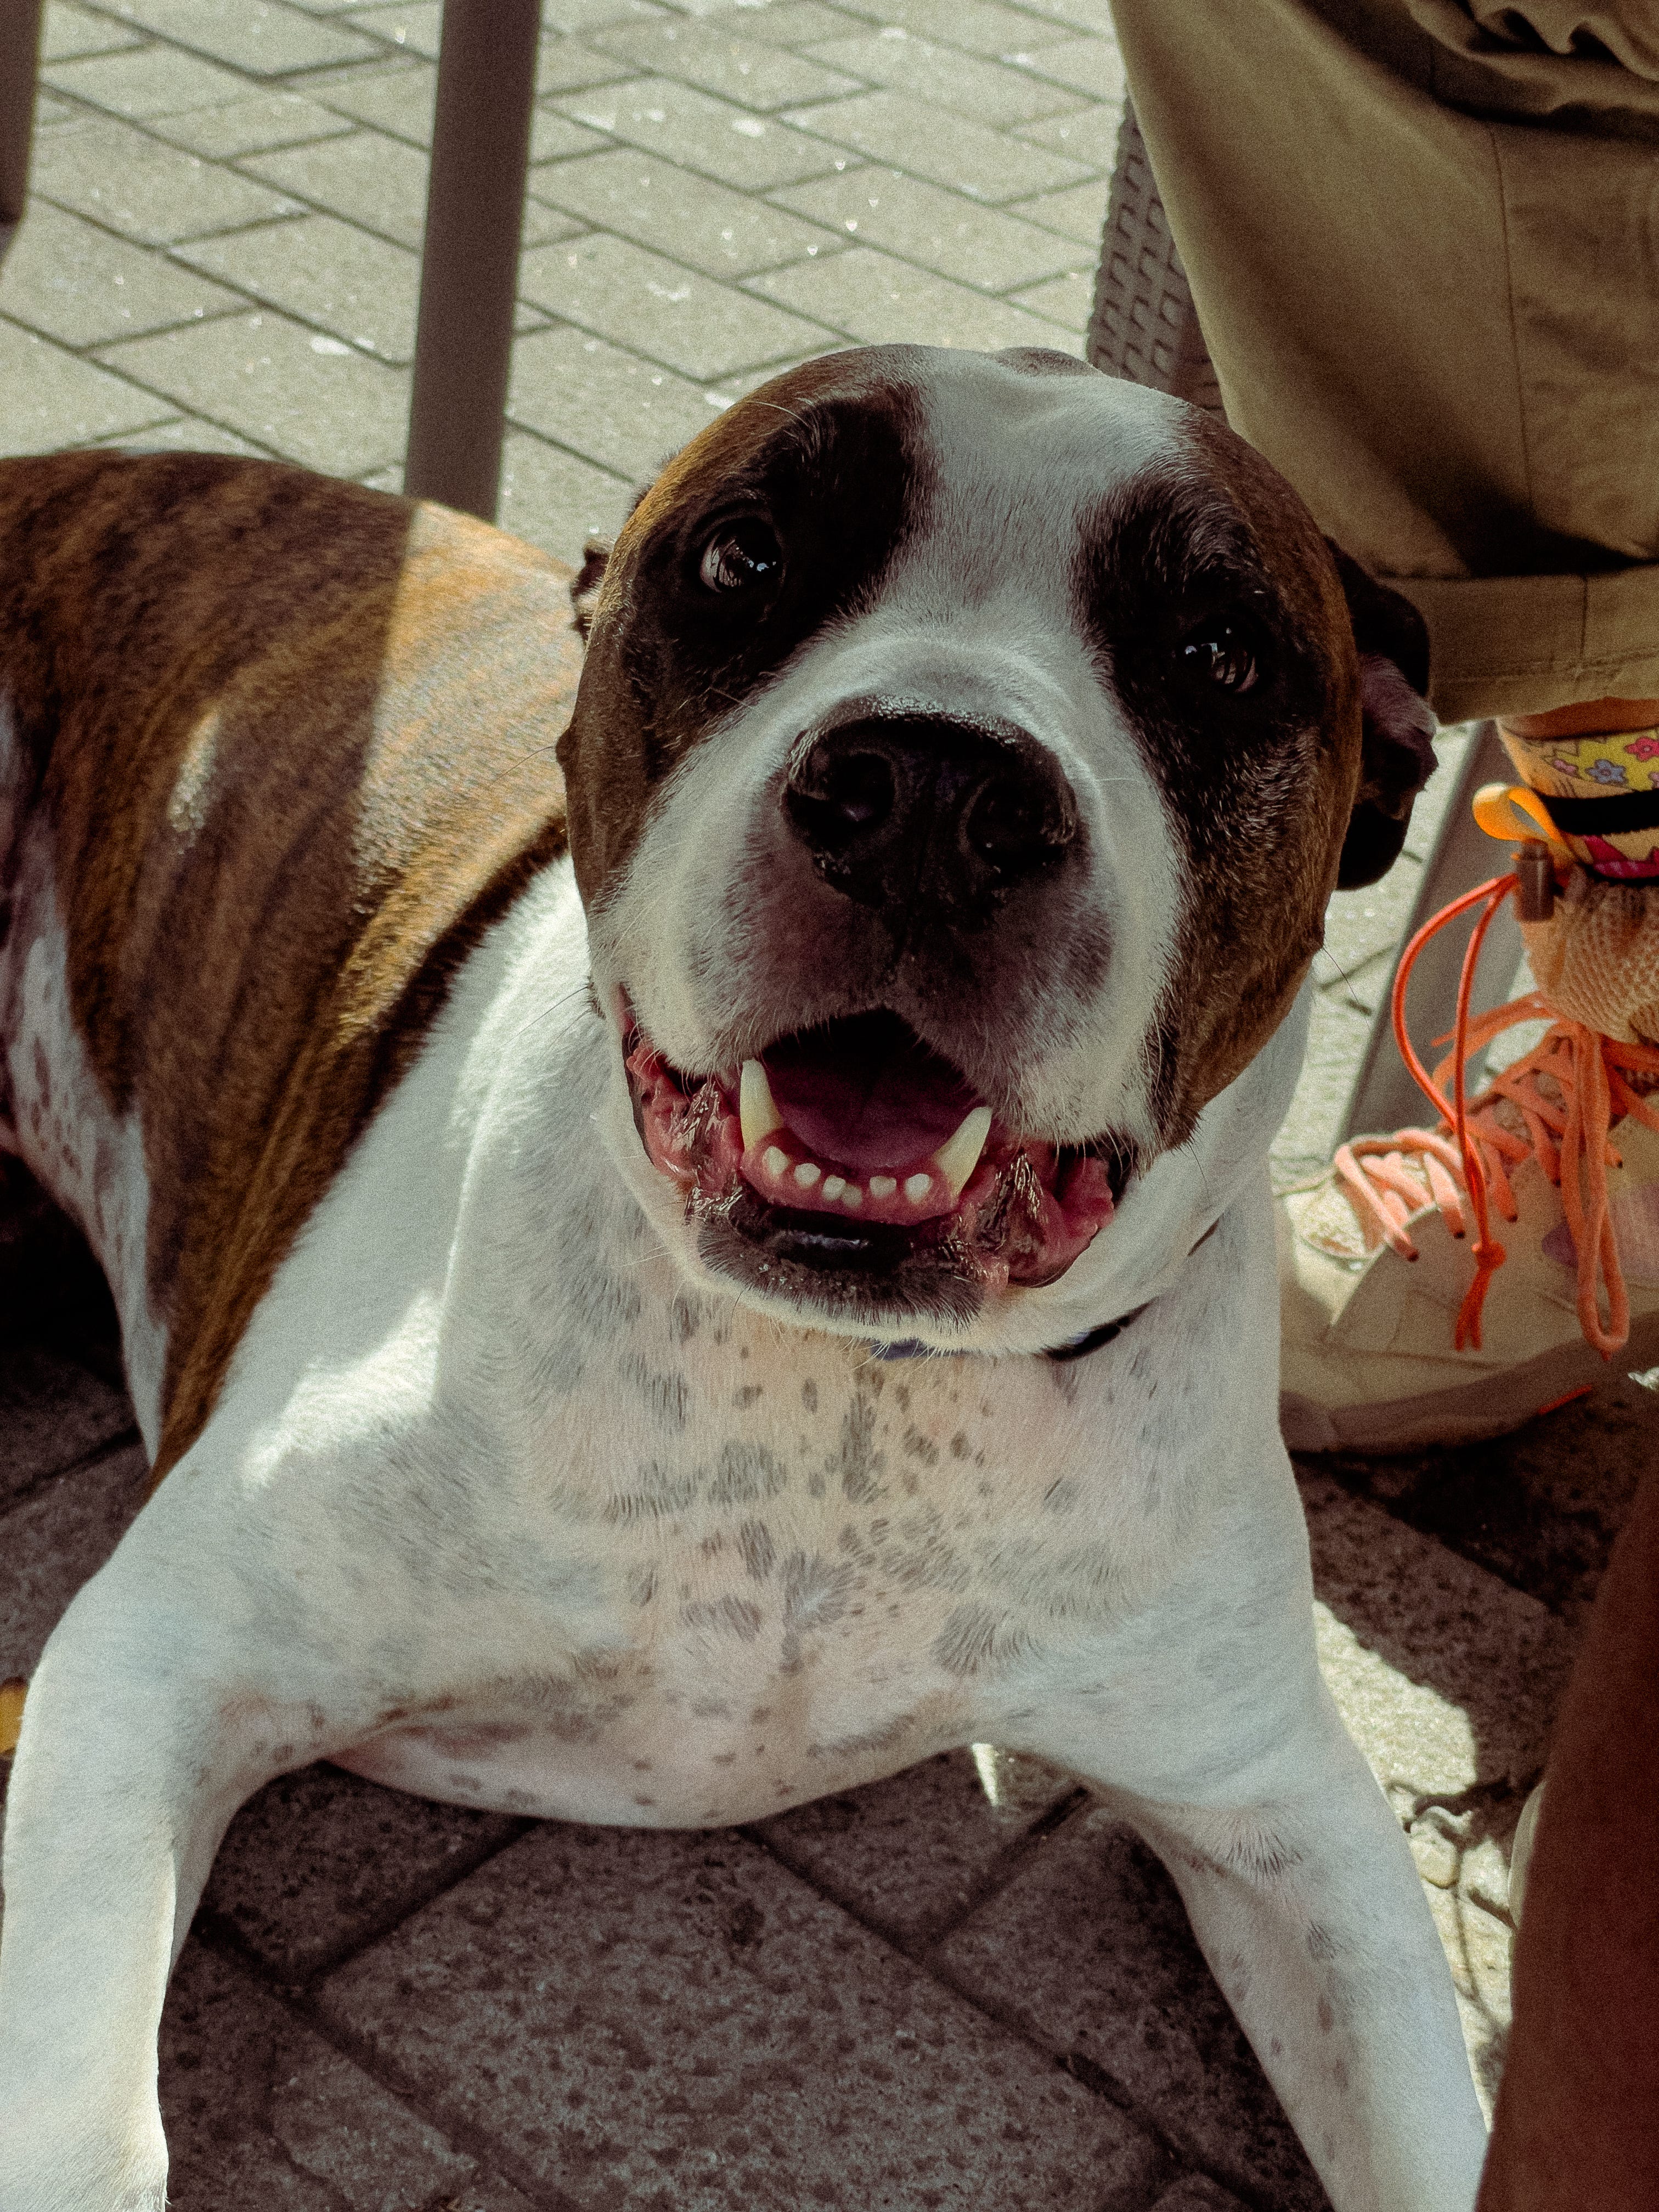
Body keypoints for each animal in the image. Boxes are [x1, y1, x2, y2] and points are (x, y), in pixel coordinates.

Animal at [0, 344, 1487, 2211]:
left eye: (1218, 652)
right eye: (745, 557)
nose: (931, 792)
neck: (837, 1406)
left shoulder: (1285, 1818)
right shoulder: (162, 1658)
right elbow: (79, 2121)